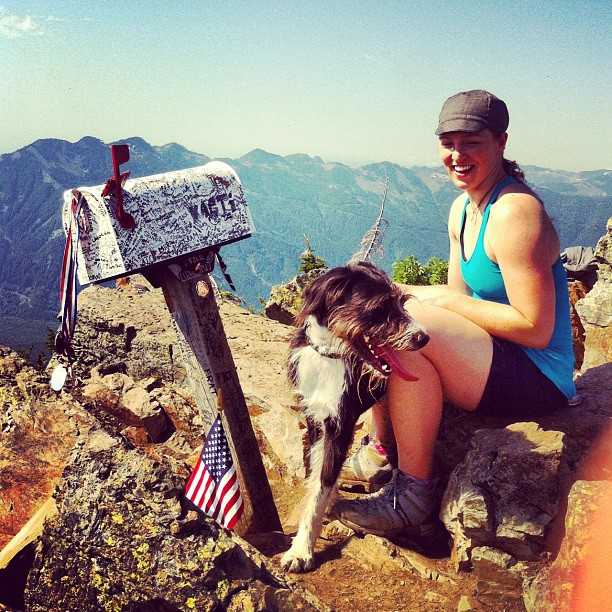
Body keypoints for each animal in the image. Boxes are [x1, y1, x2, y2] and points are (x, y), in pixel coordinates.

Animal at [280, 260, 428, 572]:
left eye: (401, 302)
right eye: (379, 308)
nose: (425, 338)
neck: (330, 356)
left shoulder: (340, 425)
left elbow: (322, 484)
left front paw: (301, 549)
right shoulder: (315, 419)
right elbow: (314, 475)